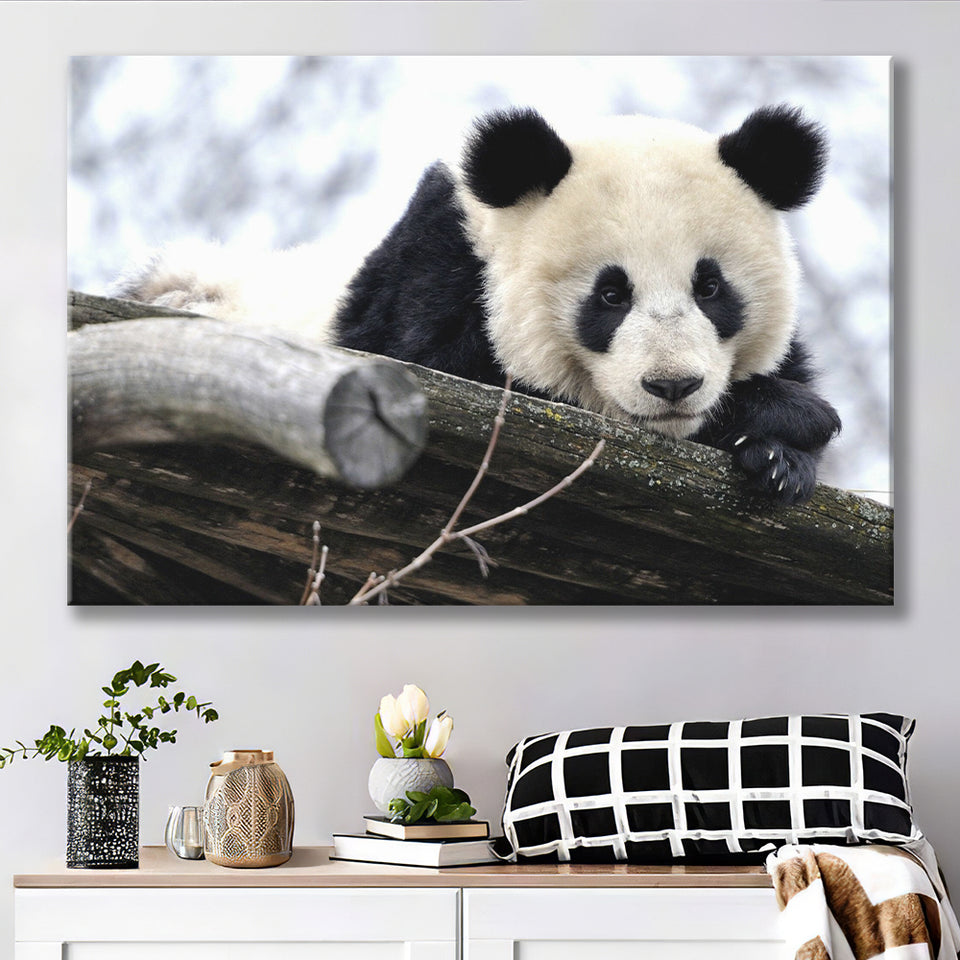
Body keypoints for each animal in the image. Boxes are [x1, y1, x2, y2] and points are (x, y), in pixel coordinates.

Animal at [117, 104, 841, 505]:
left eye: (710, 288)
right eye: (610, 294)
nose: (672, 386)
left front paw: (780, 460)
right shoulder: (433, 281)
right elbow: (454, 370)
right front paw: (787, 416)